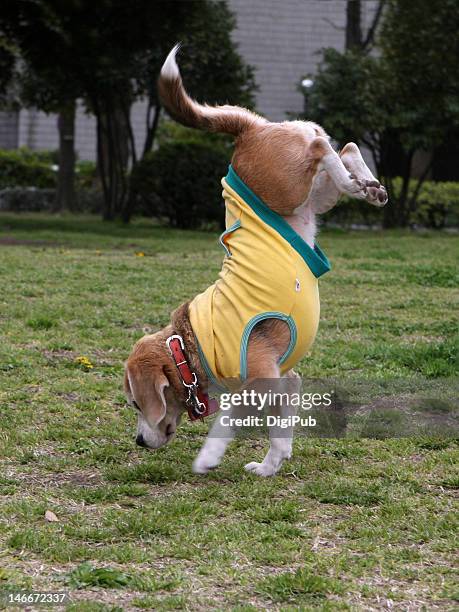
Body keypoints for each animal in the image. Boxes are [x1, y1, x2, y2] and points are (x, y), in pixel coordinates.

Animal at [123, 45, 388, 476]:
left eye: (134, 403)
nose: (139, 442)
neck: (187, 347)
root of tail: (249, 132)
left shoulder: (262, 378)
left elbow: (229, 415)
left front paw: (209, 456)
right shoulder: (287, 379)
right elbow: (279, 431)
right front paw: (270, 466)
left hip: (285, 185)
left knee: (323, 148)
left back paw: (357, 183)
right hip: (308, 196)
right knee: (344, 146)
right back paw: (369, 186)